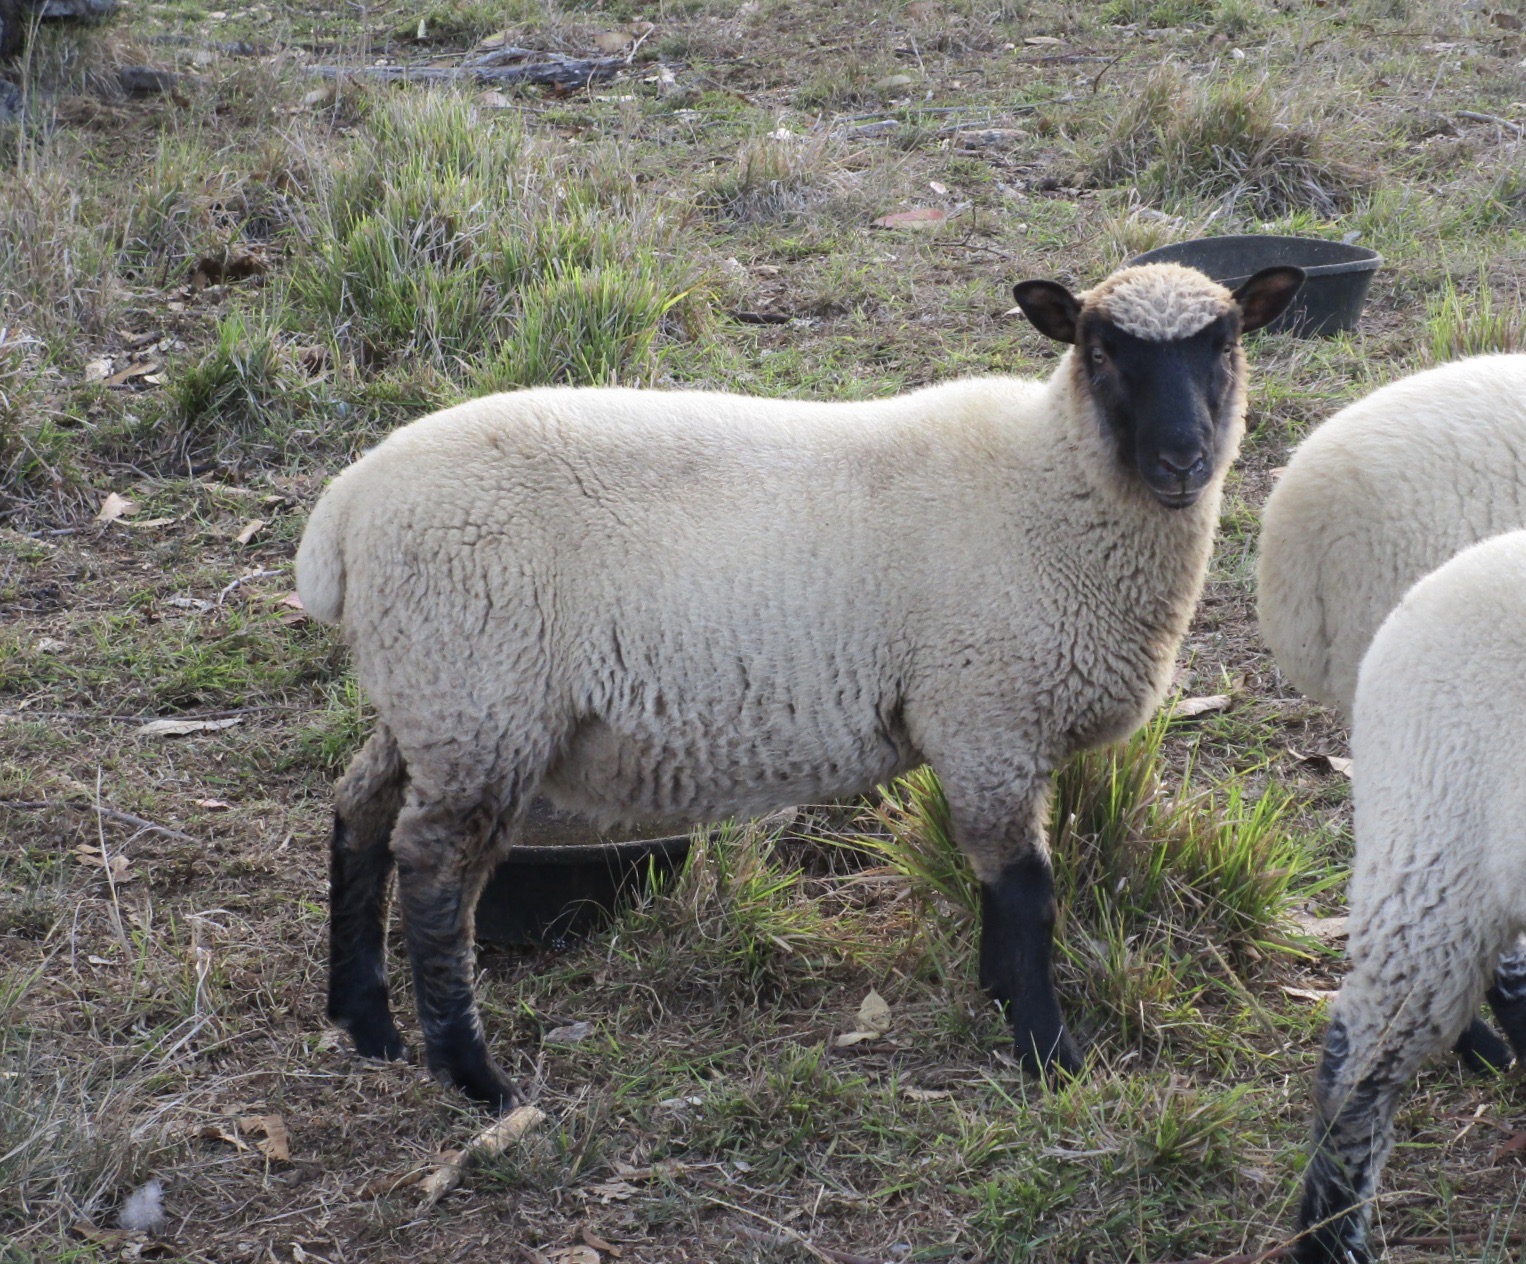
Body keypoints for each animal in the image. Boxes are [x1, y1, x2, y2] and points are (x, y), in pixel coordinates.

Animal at [296, 260, 1304, 1109]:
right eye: (1100, 350)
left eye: (1225, 345)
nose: (1181, 460)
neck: (1053, 483)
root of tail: (345, 509)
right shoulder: (986, 713)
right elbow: (1026, 888)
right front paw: (1047, 1052)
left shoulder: (990, 729)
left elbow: (997, 882)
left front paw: (997, 998)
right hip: (482, 695)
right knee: (433, 867)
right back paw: (473, 1075)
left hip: (434, 691)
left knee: (359, 809)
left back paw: (366, 1020)